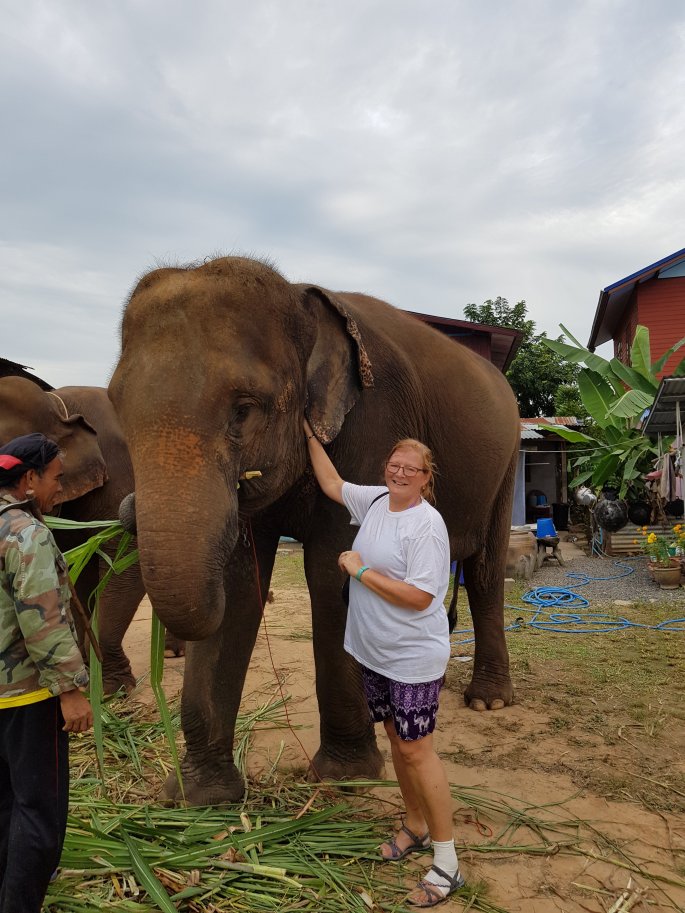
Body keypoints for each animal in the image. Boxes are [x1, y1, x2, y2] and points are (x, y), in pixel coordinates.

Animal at [0, 374, 183, 694]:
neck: (57, 405)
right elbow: (72, 573)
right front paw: (87, 672)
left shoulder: (118, 469)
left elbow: (126, 560)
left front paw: (111, 687)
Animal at [109, 255, 520, 806]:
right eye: (117, 407)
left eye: (244, 409)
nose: (129, 508)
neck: (300, 297)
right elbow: (239, 585)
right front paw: (201, 799)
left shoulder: (375, 419)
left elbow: (331, 569)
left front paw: (346, 777)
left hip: (507, 463)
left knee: (485, 571)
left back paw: (488, 702)